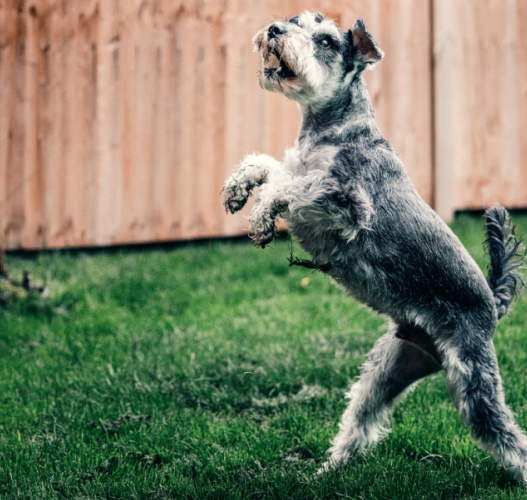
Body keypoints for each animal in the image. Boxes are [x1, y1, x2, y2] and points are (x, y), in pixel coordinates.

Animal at [222, 10, 527, 484]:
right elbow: (271, 165)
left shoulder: (347, 201)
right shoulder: (304, 169)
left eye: (326, 40)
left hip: (475, 383)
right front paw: (239, 188)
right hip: (389, 368)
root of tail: (492, 304)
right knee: (361, 421)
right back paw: (327, 470)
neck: (333, 128)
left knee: (508, 437)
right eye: (296, 19)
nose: (275, 29)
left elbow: (291, 185)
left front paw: (261, 213)